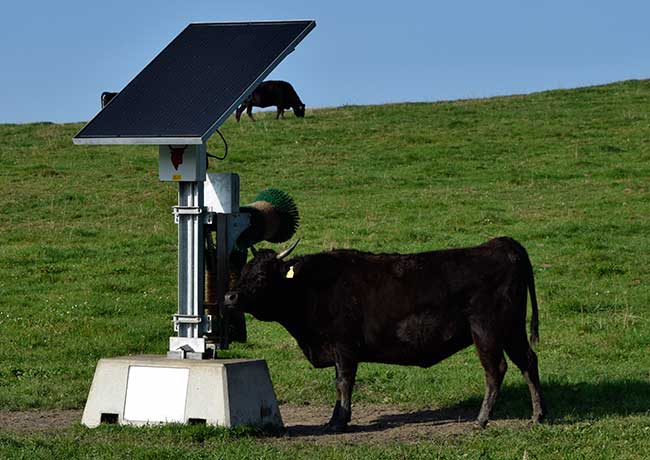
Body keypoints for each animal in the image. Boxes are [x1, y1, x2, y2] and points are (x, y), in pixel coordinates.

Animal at [225, 237, 544, 432]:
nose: (230, 297)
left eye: (262, 275)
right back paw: (538, 415)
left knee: (495, 370)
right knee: (529, 362)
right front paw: (334, 420)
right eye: (242, 272)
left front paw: (339, 422)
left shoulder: (344, 348)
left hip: (486, 331)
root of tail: (499, 244)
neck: (311, 287)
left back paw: (481, 420)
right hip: (512, 330)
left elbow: (343, 384)